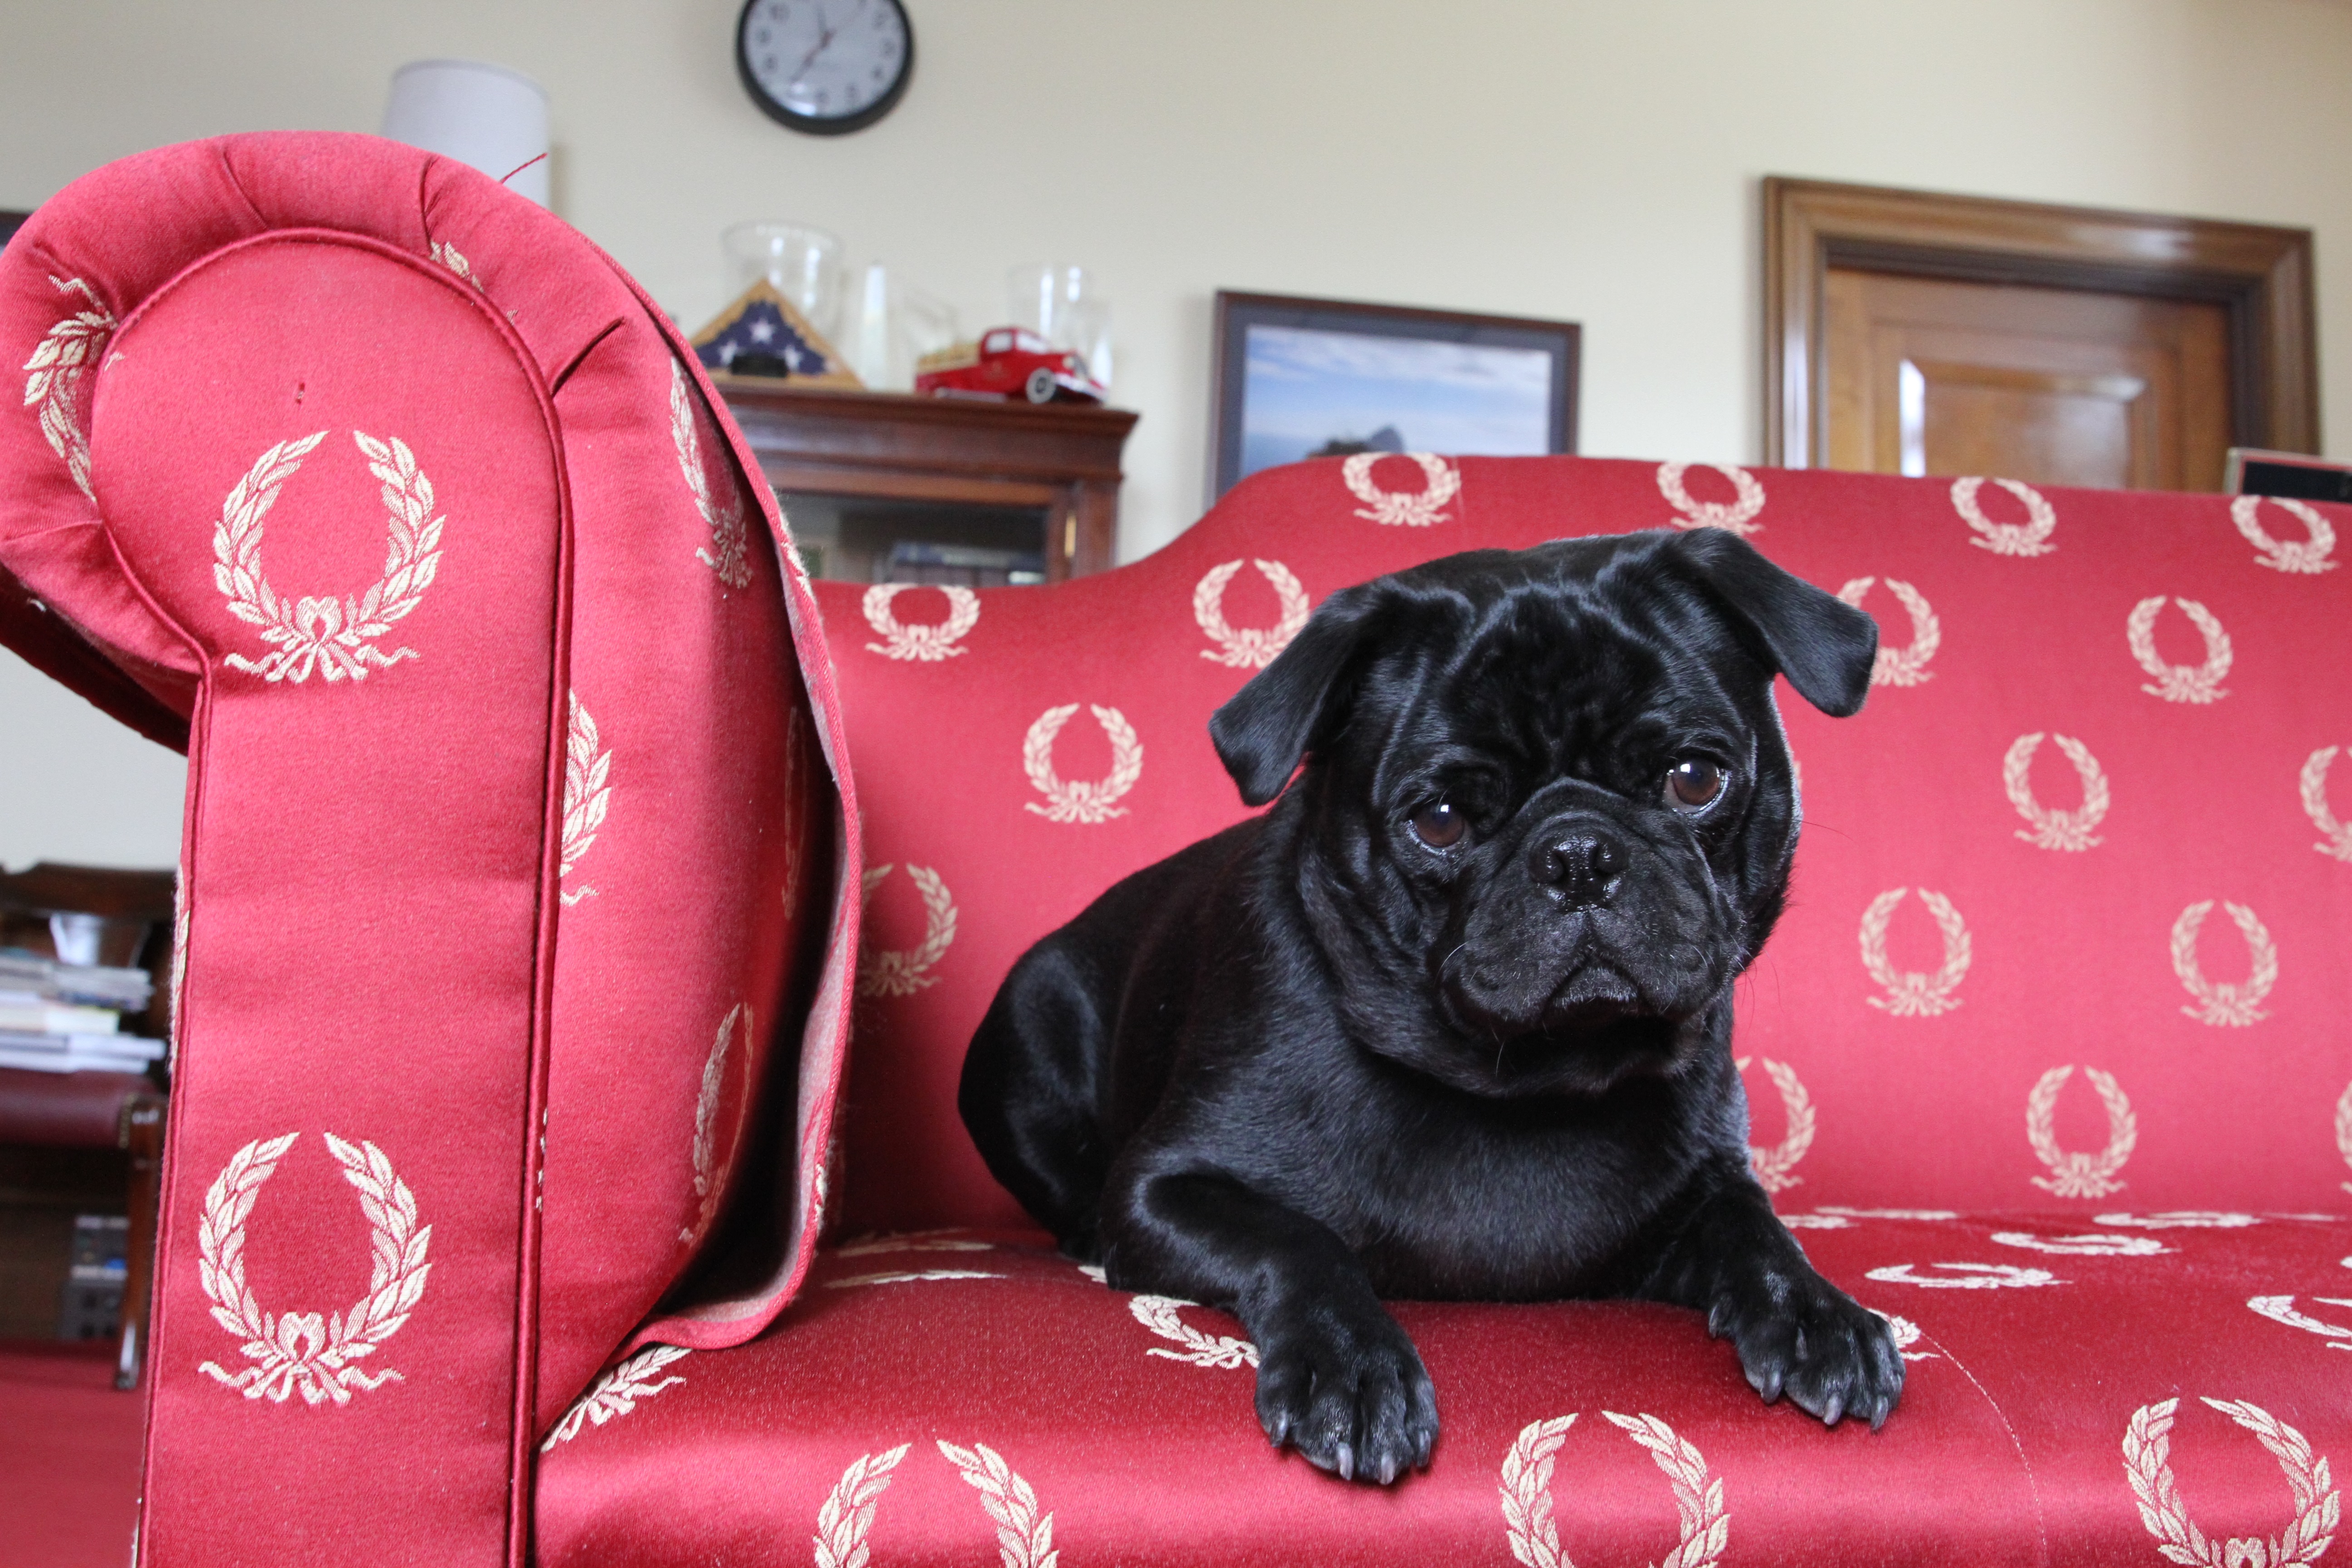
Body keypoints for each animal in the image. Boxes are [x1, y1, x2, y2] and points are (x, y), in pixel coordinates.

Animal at [955, 524, 1891, 1485]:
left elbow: (1756, 1231)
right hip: (1022, 1042)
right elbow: (1294, 1239)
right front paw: (1349, 1367)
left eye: (1693, 777)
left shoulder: (1700, 1193)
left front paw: (1815, 1313)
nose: (1578, 853)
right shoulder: (1160, 1191)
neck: (1524, 1081)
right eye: (1438, 819)